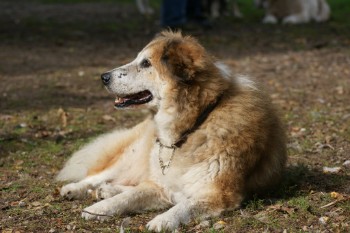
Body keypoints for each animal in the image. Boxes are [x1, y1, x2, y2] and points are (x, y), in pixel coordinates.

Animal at [56, 30, 288, 231]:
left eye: (146, 63)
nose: (103, 77)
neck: (196, 122)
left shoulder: (216, 194)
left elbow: (184, 206)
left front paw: (162, 220)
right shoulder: (161, 185)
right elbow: (126, 198)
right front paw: (97, 209)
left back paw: (107, 189)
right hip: (133, 156)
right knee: (100, 175)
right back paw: (75, 189)